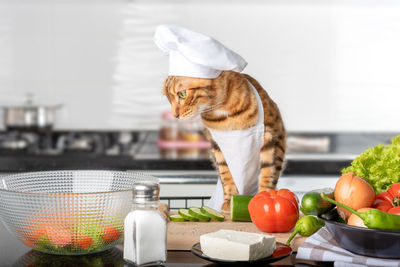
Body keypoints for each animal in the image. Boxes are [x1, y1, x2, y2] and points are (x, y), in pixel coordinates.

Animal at [161, 70, 286, 213]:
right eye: (168, 98)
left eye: (182, 93)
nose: (174, 115)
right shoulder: (218, 148)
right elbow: (226, 176)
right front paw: (229, 201)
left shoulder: (272, 139)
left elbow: (268, 173)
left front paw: (264, 198)